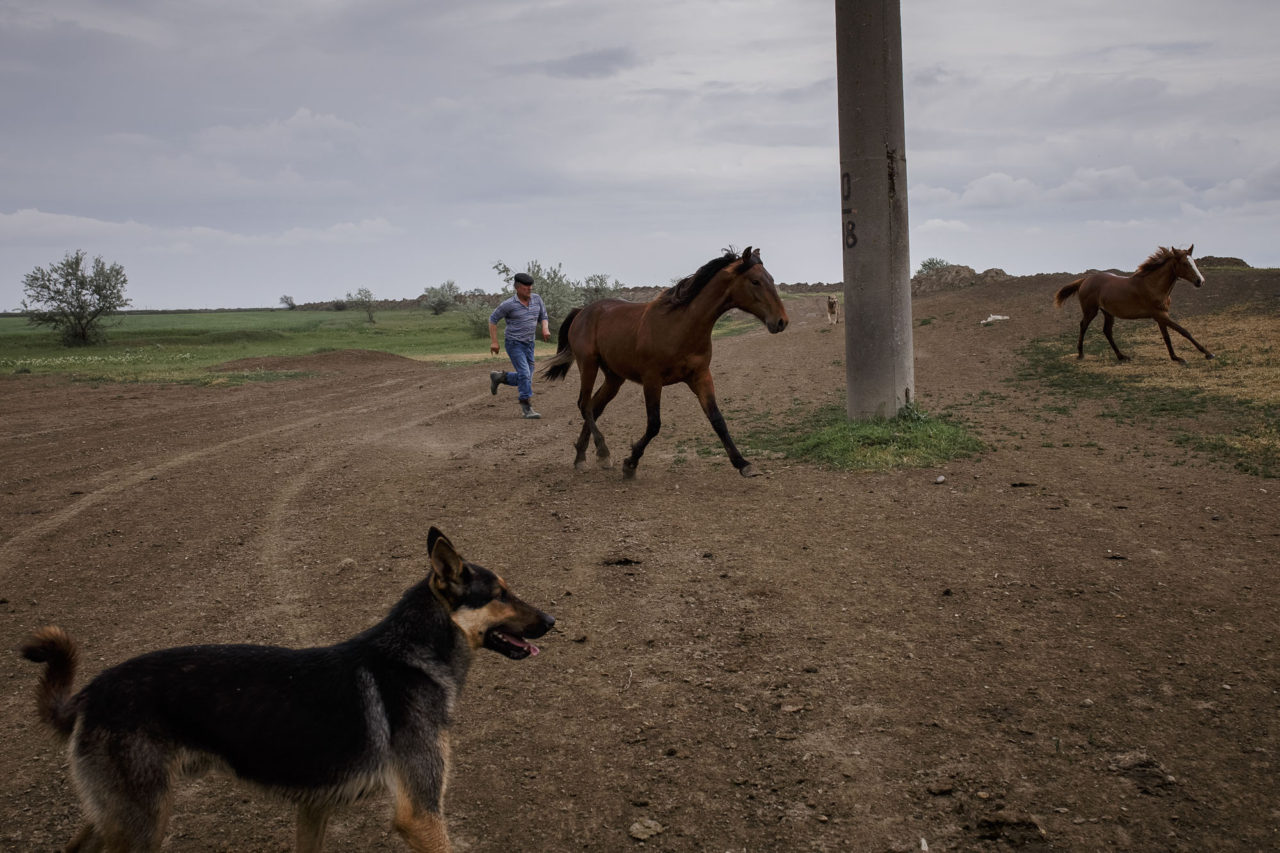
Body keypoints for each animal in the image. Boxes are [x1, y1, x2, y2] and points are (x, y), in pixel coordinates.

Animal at [17, 525, 552, 850]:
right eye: (500, 593)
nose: (552, 620)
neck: (413, 657)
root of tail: (89, 694)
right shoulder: (419, 813)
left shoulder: (315, 807)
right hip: (142, 820)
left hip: (115, 812)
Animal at [535, 245, 783, 473]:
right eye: (755, 281)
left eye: (771, 278)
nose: (781, 321)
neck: (680, 326)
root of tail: (582, 311)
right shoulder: (652, 380)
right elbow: (654, 424)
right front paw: (630, 462)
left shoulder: (701, 376)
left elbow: (717, 420)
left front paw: (743, 463)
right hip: (588, 364)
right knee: (585, 405)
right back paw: (603, 453)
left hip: (614, 377)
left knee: (595, 407)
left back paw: (582, 456)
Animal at [1054, 245, 1213, 366]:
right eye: (1185, 264)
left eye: (1194, 263)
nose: (1201, 281)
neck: (1153, 285)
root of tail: (1085, 280)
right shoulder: (1159, 315)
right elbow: (1184, 331)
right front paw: (1208, 353)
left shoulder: (1162, 315)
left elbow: (1167, 336)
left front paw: (1176, 358)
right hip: (1090, 310)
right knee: (1083, 326)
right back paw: (1080, 354)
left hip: (1108, 312)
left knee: (1107, 331)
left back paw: (1121, 356)